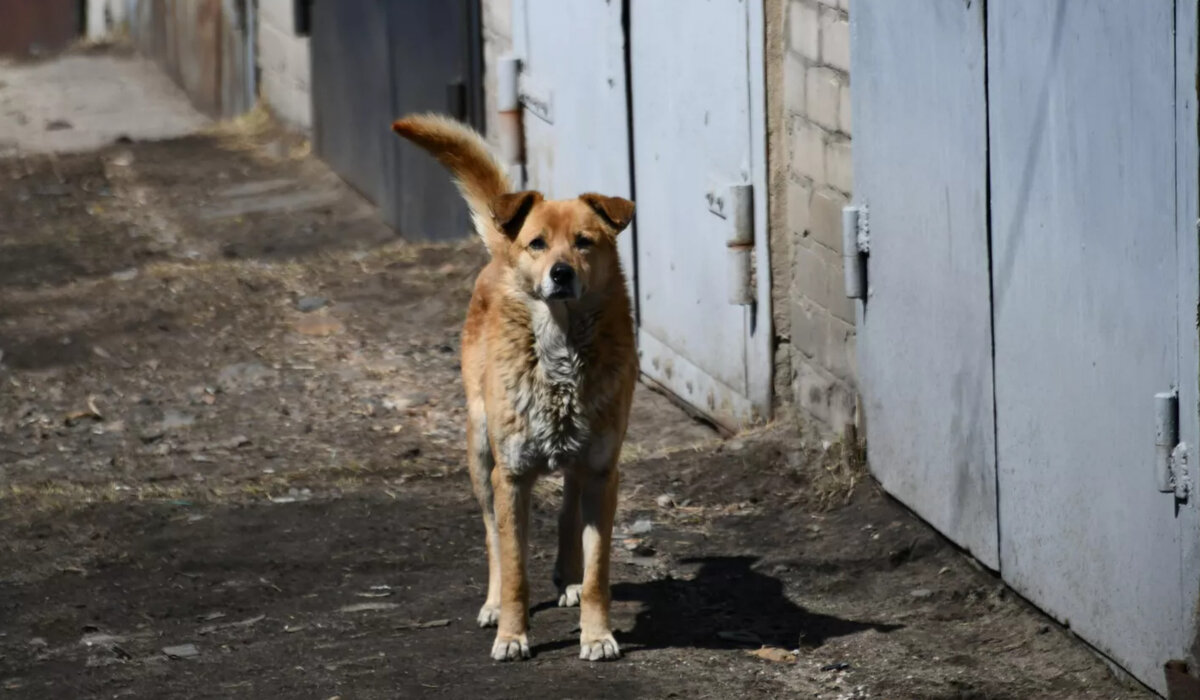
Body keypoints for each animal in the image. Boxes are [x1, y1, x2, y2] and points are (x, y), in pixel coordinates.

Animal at [393, 115, 638, 662]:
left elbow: (598, 570)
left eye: (585, 242)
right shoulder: (512, 475)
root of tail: (499, 251)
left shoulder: (602, 471)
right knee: (492, 539)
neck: (560, 351)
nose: (561, 274)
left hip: (577, 459)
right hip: (481, 452)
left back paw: (568, 577)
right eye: (539, 244)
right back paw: (492, 604)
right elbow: (515, 569)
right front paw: (512, 633)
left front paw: (597, 634)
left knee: (568, 510)